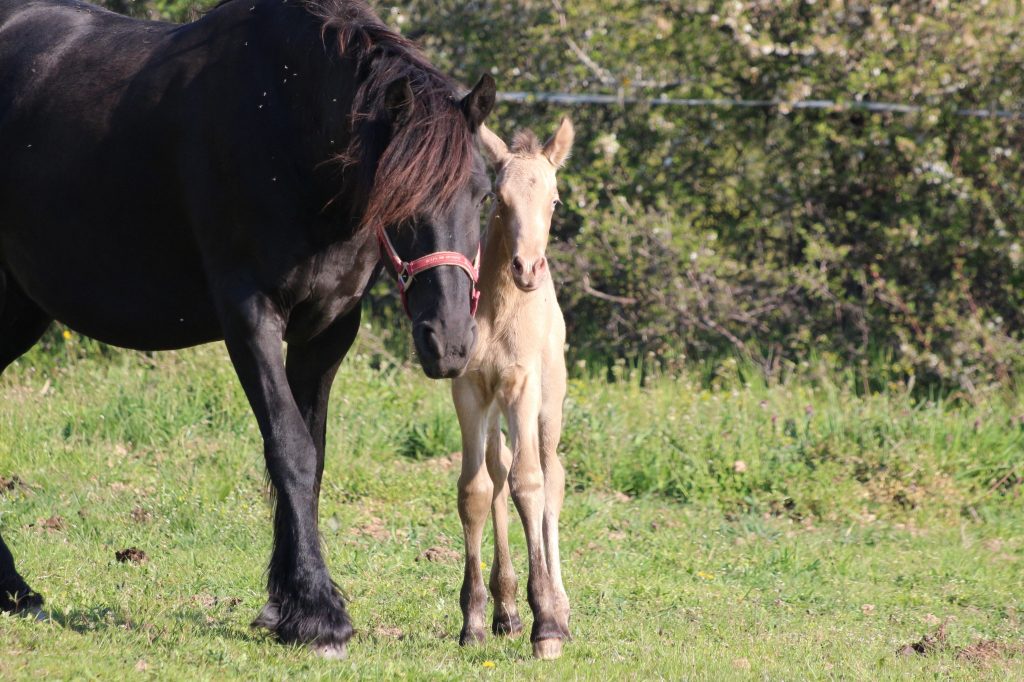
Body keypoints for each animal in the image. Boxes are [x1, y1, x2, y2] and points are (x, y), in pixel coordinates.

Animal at [0, 0, 495, 655]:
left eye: (483, 195)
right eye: (401, 195)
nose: (451, 343)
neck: (284, 125)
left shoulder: (327, 330)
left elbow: (313, 456)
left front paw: (285, 605)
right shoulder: (249, 315)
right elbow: (290, 450)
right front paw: (318, 614)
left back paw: (14, 590)